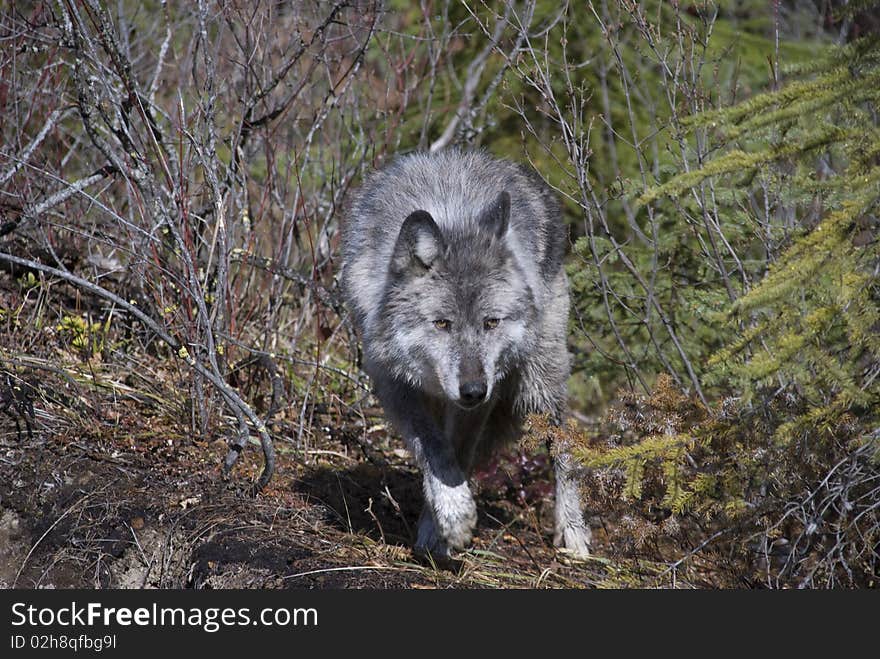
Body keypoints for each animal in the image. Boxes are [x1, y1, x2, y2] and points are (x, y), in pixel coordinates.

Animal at [336, 148, 592, 556]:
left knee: (563, 446)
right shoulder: (393, 384)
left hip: (540, 383)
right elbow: (435, 449)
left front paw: (441, 525)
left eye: (491, 322)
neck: (451, 217)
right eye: (442, 324)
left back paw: (572, 532)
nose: (473, 391)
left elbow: (457, 452)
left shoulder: (487, 391)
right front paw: (447, 517)